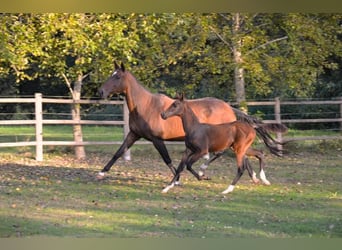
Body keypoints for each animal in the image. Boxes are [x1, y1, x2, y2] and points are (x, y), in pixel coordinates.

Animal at [98, 61, 286, 181]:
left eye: (117, 77)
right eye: (111, 74)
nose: (100, 92)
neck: (146, 106)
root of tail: (230, 108)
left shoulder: (157, 139)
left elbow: (167, 159)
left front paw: (178, 178)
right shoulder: (134, 134)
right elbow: (118, 152)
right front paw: (101, 172)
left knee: (222, 153)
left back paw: (204, 171)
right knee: (244, 156)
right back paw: (254, 177)